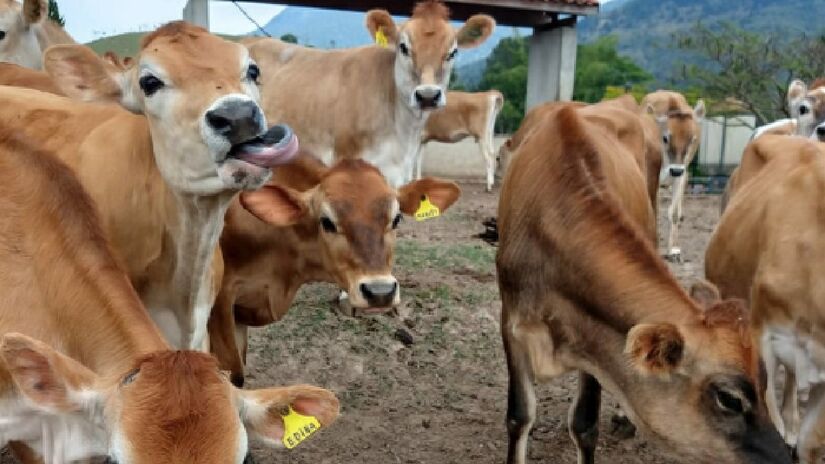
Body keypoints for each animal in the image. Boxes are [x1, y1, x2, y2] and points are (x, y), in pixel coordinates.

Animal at [641, 90, 705, 261]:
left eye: (692, 139)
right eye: (665, 138)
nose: (675, 170)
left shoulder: (681, 173)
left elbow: (674, 212)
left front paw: (674, 250)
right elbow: (653, 209)